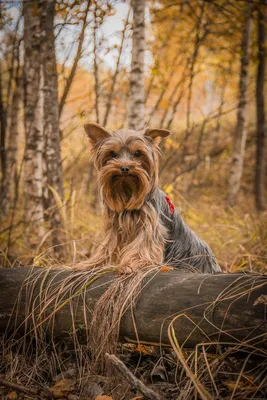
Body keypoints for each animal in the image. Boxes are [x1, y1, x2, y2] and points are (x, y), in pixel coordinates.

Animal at [84, 121, 222, 276]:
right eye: (112, 154)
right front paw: (93, 264)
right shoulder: (114, 227)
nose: (124, 167)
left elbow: (142, 245)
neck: (128, 192)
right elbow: (108, 246)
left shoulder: (150, 225)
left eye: (138, 153)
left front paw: (130, 265)